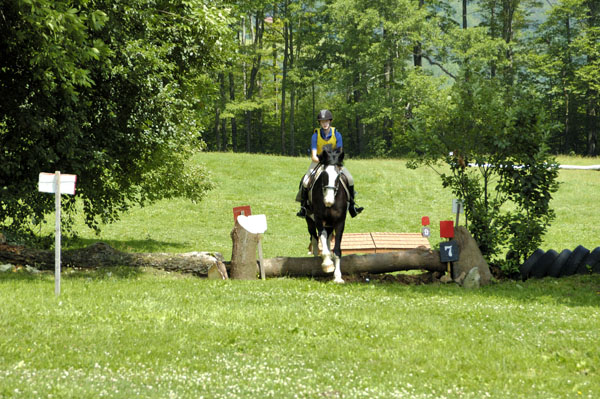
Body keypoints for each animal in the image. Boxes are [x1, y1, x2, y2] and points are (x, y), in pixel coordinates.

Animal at [304, 145, 346, 282]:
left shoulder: (340, 222)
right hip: (310, 221)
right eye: (324, 175)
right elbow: (321, 238)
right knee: (315, 239)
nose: (328, 201)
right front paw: (327, 264)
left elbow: (336, 250)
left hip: (330, 224)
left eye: (338, 176)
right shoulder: (318, 219)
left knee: (327, 238)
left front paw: (338, 276)